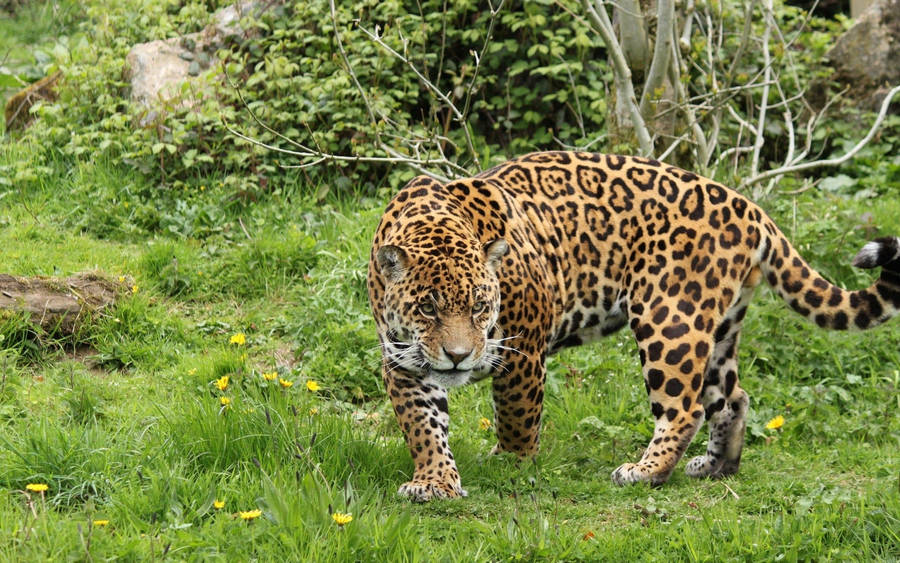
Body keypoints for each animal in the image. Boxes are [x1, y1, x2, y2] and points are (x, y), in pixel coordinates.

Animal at [366, 151, 900, 501]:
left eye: (480, 306)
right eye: (428, 308)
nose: (458, 357)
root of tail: (747, 207)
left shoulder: (524, 351)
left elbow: (516, 417)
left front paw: (513, 465)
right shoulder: (403, 362)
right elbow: (423, 427)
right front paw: (434, 481)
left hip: (670, 318)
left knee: (684, 408)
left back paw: (645, 472)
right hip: (720, 329)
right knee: (732, 397)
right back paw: (716, 467)